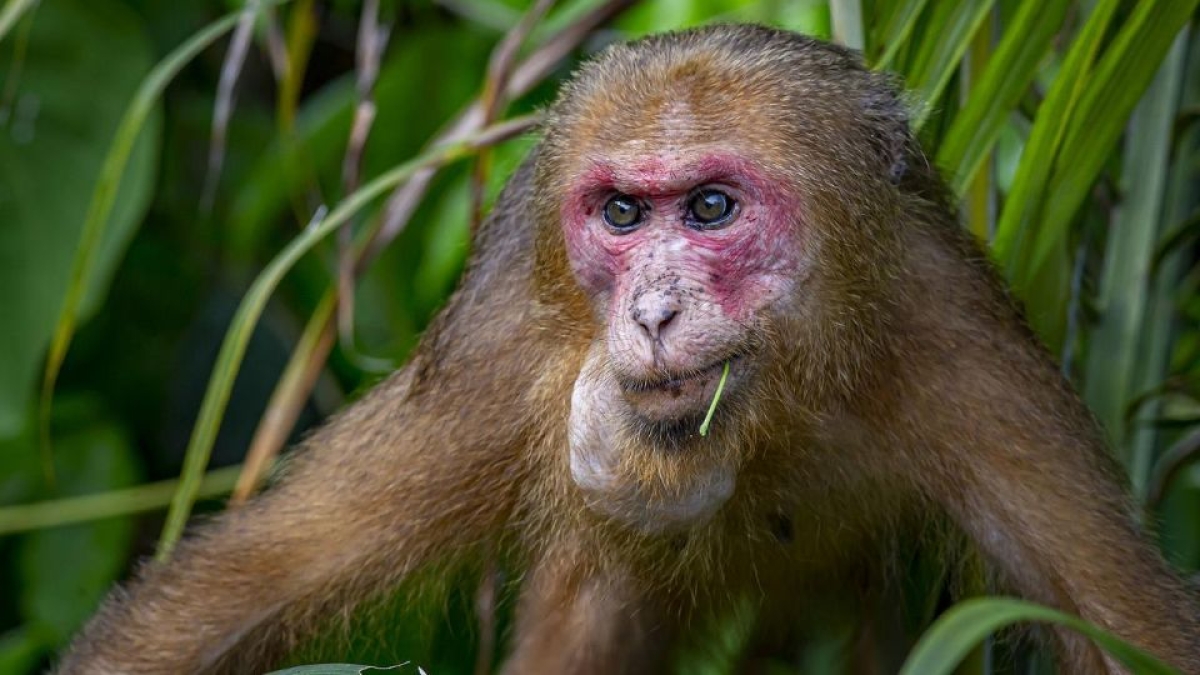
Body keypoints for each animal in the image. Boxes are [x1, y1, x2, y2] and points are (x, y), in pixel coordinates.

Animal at [56, 24, 1200, 675]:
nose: (648, 312)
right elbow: (259, 579)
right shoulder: (498, 357)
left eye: (709, 209)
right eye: (619, 214)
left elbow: (1128, 629)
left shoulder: (968, 362)